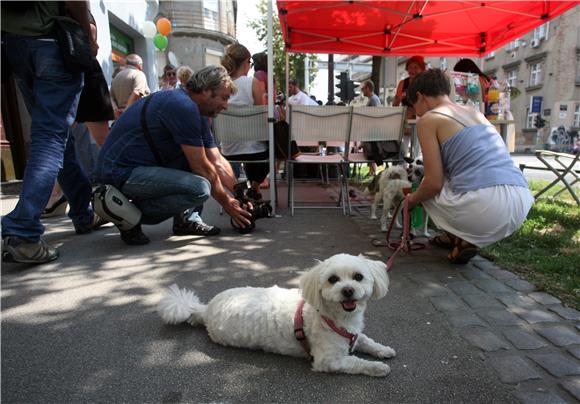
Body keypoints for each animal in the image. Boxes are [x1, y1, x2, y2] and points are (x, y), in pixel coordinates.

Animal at [157, 254, 394, 378]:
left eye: (358, 277)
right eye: (333, 279)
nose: (348, 290)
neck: (331, 317)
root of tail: (206, 309)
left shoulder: (353, 335)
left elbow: (367, 341)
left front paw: (383, 350)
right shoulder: (329, 360)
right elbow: (355, 362)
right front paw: (377, 367)